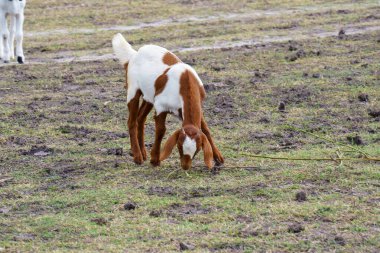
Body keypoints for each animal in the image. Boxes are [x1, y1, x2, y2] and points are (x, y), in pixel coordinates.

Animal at [110, 32, 223, 169]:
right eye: (179, 146)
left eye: (197, 150)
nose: (185, 166)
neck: (185, 81)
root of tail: (134, 54)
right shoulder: (161, 106)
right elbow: (161, 130)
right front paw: (155, 159)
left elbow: (205, 129)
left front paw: (218, 157)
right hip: (132, 90)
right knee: (131, 121)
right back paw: (137, 157)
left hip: (149, 96)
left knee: (140, 118)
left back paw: (143, 153)